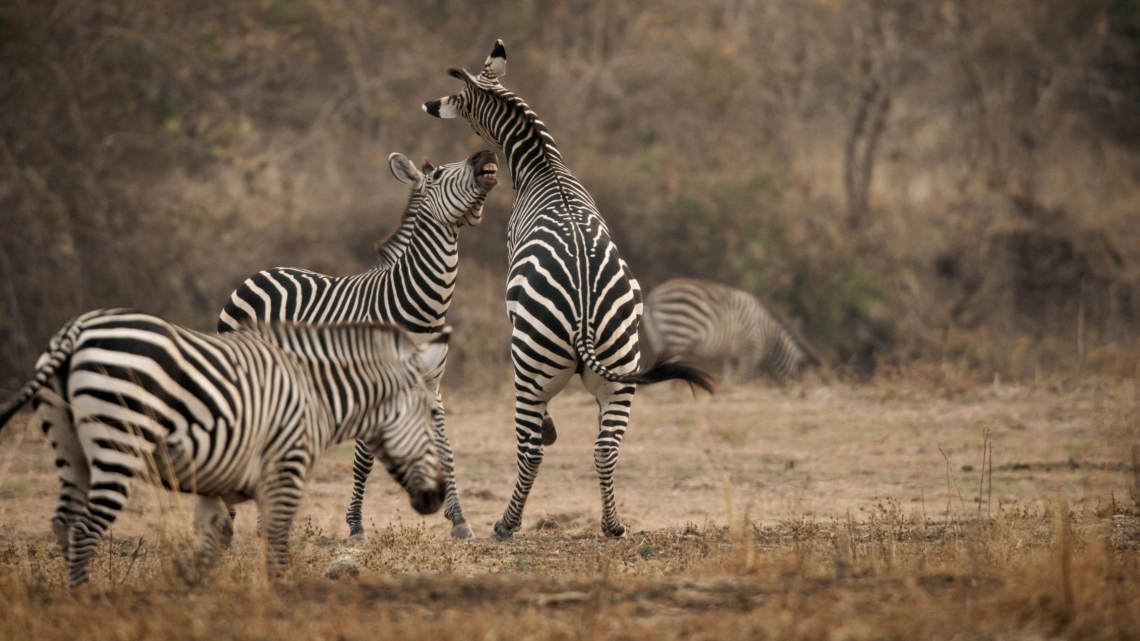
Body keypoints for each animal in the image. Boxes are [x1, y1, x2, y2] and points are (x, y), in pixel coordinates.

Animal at [0, 307, 446, 588]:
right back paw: (88, 601)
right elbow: (276, 547)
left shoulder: (214, 482)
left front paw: (197, 596)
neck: (317, 393)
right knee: (84, 530)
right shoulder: (286, 468)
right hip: (117, 443)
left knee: (64, 523)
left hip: (71, 450)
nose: (437, 498)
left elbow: (213, 543)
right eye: (428, 415)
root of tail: (76, 330)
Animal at [215, 149, 497, 538]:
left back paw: (261, 524)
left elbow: (444, 449)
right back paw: (228, 522)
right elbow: (364, 458)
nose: (486, 155)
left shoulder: (432, 385)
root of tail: (260, 273)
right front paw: (356, 525)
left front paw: (459, 519)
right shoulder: (374, 383)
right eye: (440, 174)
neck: (420, 306)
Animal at [426, 41, 711, 538]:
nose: (429, 105)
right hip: (620, 371)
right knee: (606, 448)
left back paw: (507, 523)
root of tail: (581, 312)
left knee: (531, 448)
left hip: (530, 366)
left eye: (457, 100)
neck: (546, 167)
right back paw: (613, 524)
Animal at [642, 277, 820, 380]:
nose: (801, 395)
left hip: (660, 338)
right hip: (679, 331)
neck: (769, 336)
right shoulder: (751, 349)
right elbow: (745, 378)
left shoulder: (731, 356)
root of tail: (653, 297)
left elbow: (730, 379)